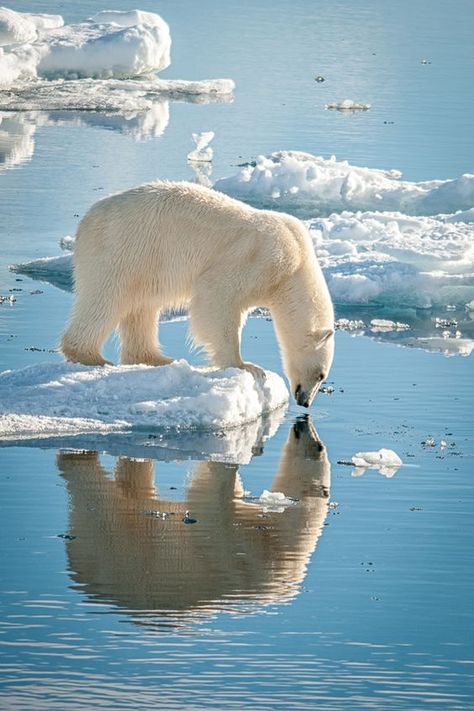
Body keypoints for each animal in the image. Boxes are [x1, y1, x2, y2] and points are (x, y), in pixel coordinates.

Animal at [61, 181, 336, 408]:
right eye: (321, 374)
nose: (305, 402)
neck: (296, 264)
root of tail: (87, 219)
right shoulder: (262, 258)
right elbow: (218, 294)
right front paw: (246, 366)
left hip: (146, 260)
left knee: (142, 305)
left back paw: (156, 358)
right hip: (124, 247)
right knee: (106, 296)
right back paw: (92, 357)